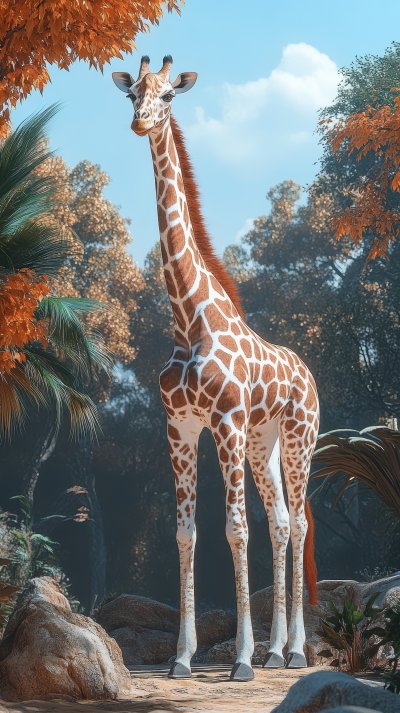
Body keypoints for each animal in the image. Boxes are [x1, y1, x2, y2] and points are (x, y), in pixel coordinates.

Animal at [113, 55, 319, 682]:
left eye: (168, 97)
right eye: (131, 92)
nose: (140, 121)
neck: (188, 318)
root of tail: (310, 376)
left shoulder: (224, 422)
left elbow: (234, 529)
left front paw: (242, 662)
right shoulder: (180, 428)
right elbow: (186, 533)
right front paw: (182, 658)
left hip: (299, 438)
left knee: (298, 523)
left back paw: (295, 652)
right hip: (262, 443)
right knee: (281, 522)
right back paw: (279, 651)